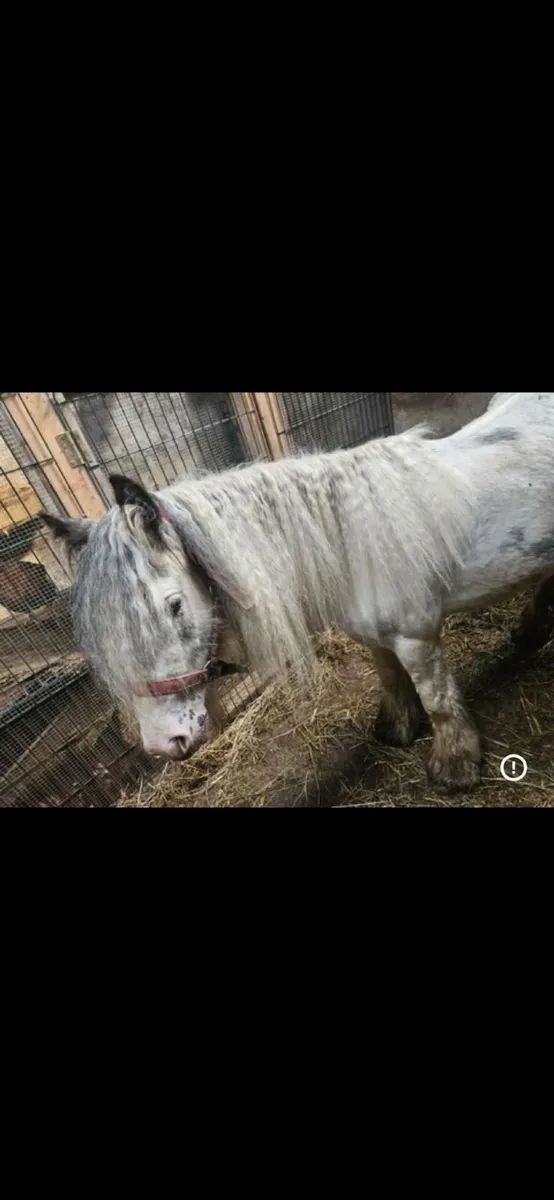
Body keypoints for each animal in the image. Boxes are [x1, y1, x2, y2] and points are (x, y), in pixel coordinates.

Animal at [41, 392, 554, 794]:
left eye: (174, 605)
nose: (163, 744)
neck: (347, 542)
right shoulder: (375, 637)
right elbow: (389, 678)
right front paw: (397, 729)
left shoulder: (417, 638)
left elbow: (439, 699)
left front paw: (454, 768)